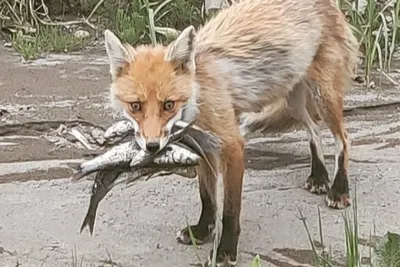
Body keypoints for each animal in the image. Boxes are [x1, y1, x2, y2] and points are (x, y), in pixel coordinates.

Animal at [102, 0, 360, 266]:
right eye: (136, 106)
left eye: (169, 104)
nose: (152, 146)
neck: (199, 97)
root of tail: (330, 5)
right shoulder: (203, 147)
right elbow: (207, 197)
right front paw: (201, 231)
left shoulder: (232, 146)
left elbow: (229, 210)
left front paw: (225, 250)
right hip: (294, 103)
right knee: (314, 131)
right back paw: (319, 177)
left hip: (322, 96)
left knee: (343, 140)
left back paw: (339, 189)